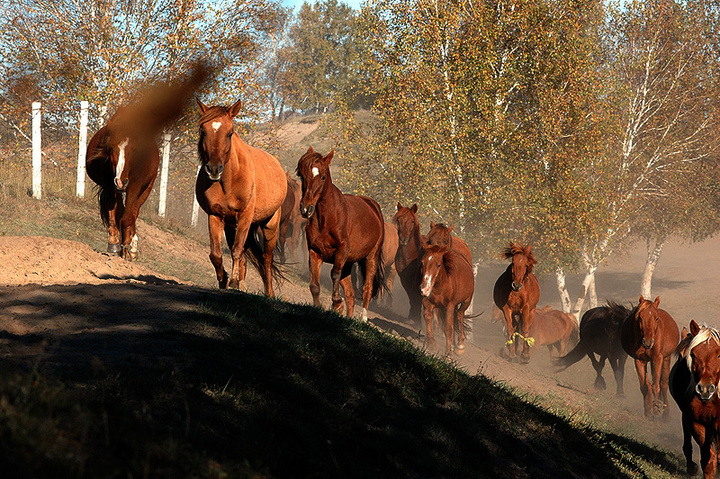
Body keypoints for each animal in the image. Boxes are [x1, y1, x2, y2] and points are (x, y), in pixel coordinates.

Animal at [86, 63, 208, 260]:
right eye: (110, 149)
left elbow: (128, 215)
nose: (121, 181)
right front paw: (115, 244)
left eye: (135, 149)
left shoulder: (135, 185)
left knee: (133, 212)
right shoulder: (109, 184)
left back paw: (131, 245)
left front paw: (128, 247)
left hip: (145, 188)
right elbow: (114, 212)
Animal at [197, 98, 290, 296]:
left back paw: (269, 292)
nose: (214, 169)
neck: (229, 180)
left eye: (230, 133)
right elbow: (216, 254)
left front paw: (232, 281)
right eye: (203, 131)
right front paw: (224, 279)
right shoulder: (215, 216)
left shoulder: (246, 216)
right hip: (232, 226)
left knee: (266, 258)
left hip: (270, 225)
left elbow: (237, 251)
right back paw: (241, 283)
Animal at [296, 144, 386, 320]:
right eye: (302, 175)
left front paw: (337, 303)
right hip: (349, 262)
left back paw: (363, 318)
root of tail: (373, 207)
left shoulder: (341, 250)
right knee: (351, 294)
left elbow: (334, 274)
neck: (328, 218)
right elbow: (314, 284)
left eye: (323, 177)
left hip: (370, 258)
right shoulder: (314, 252)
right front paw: (318, 307)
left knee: (367, 289)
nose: (305, 208)